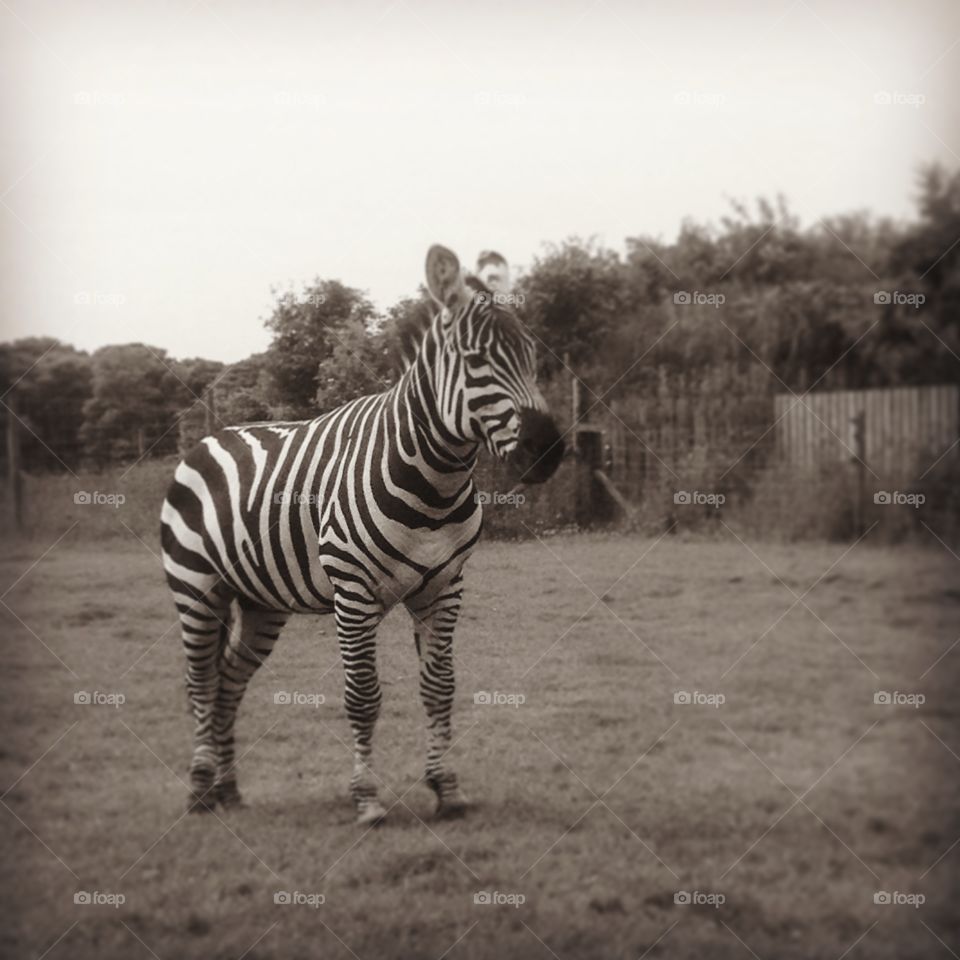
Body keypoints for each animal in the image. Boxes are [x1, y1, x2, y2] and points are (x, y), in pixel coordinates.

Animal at [160, 245, 564, 825]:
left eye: (533, 357)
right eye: (475, 361)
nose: (548, 451)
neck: (435, 481)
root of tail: (210, 438)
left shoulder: (446, 587)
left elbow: (439, 688)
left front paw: (446, 789)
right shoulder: (352, 594)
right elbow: (363, 695)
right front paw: (368, 799)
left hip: (260, 600)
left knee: (230, 680)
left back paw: (228, 789)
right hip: (195, 585)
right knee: (201, 681)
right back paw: (199, 788)